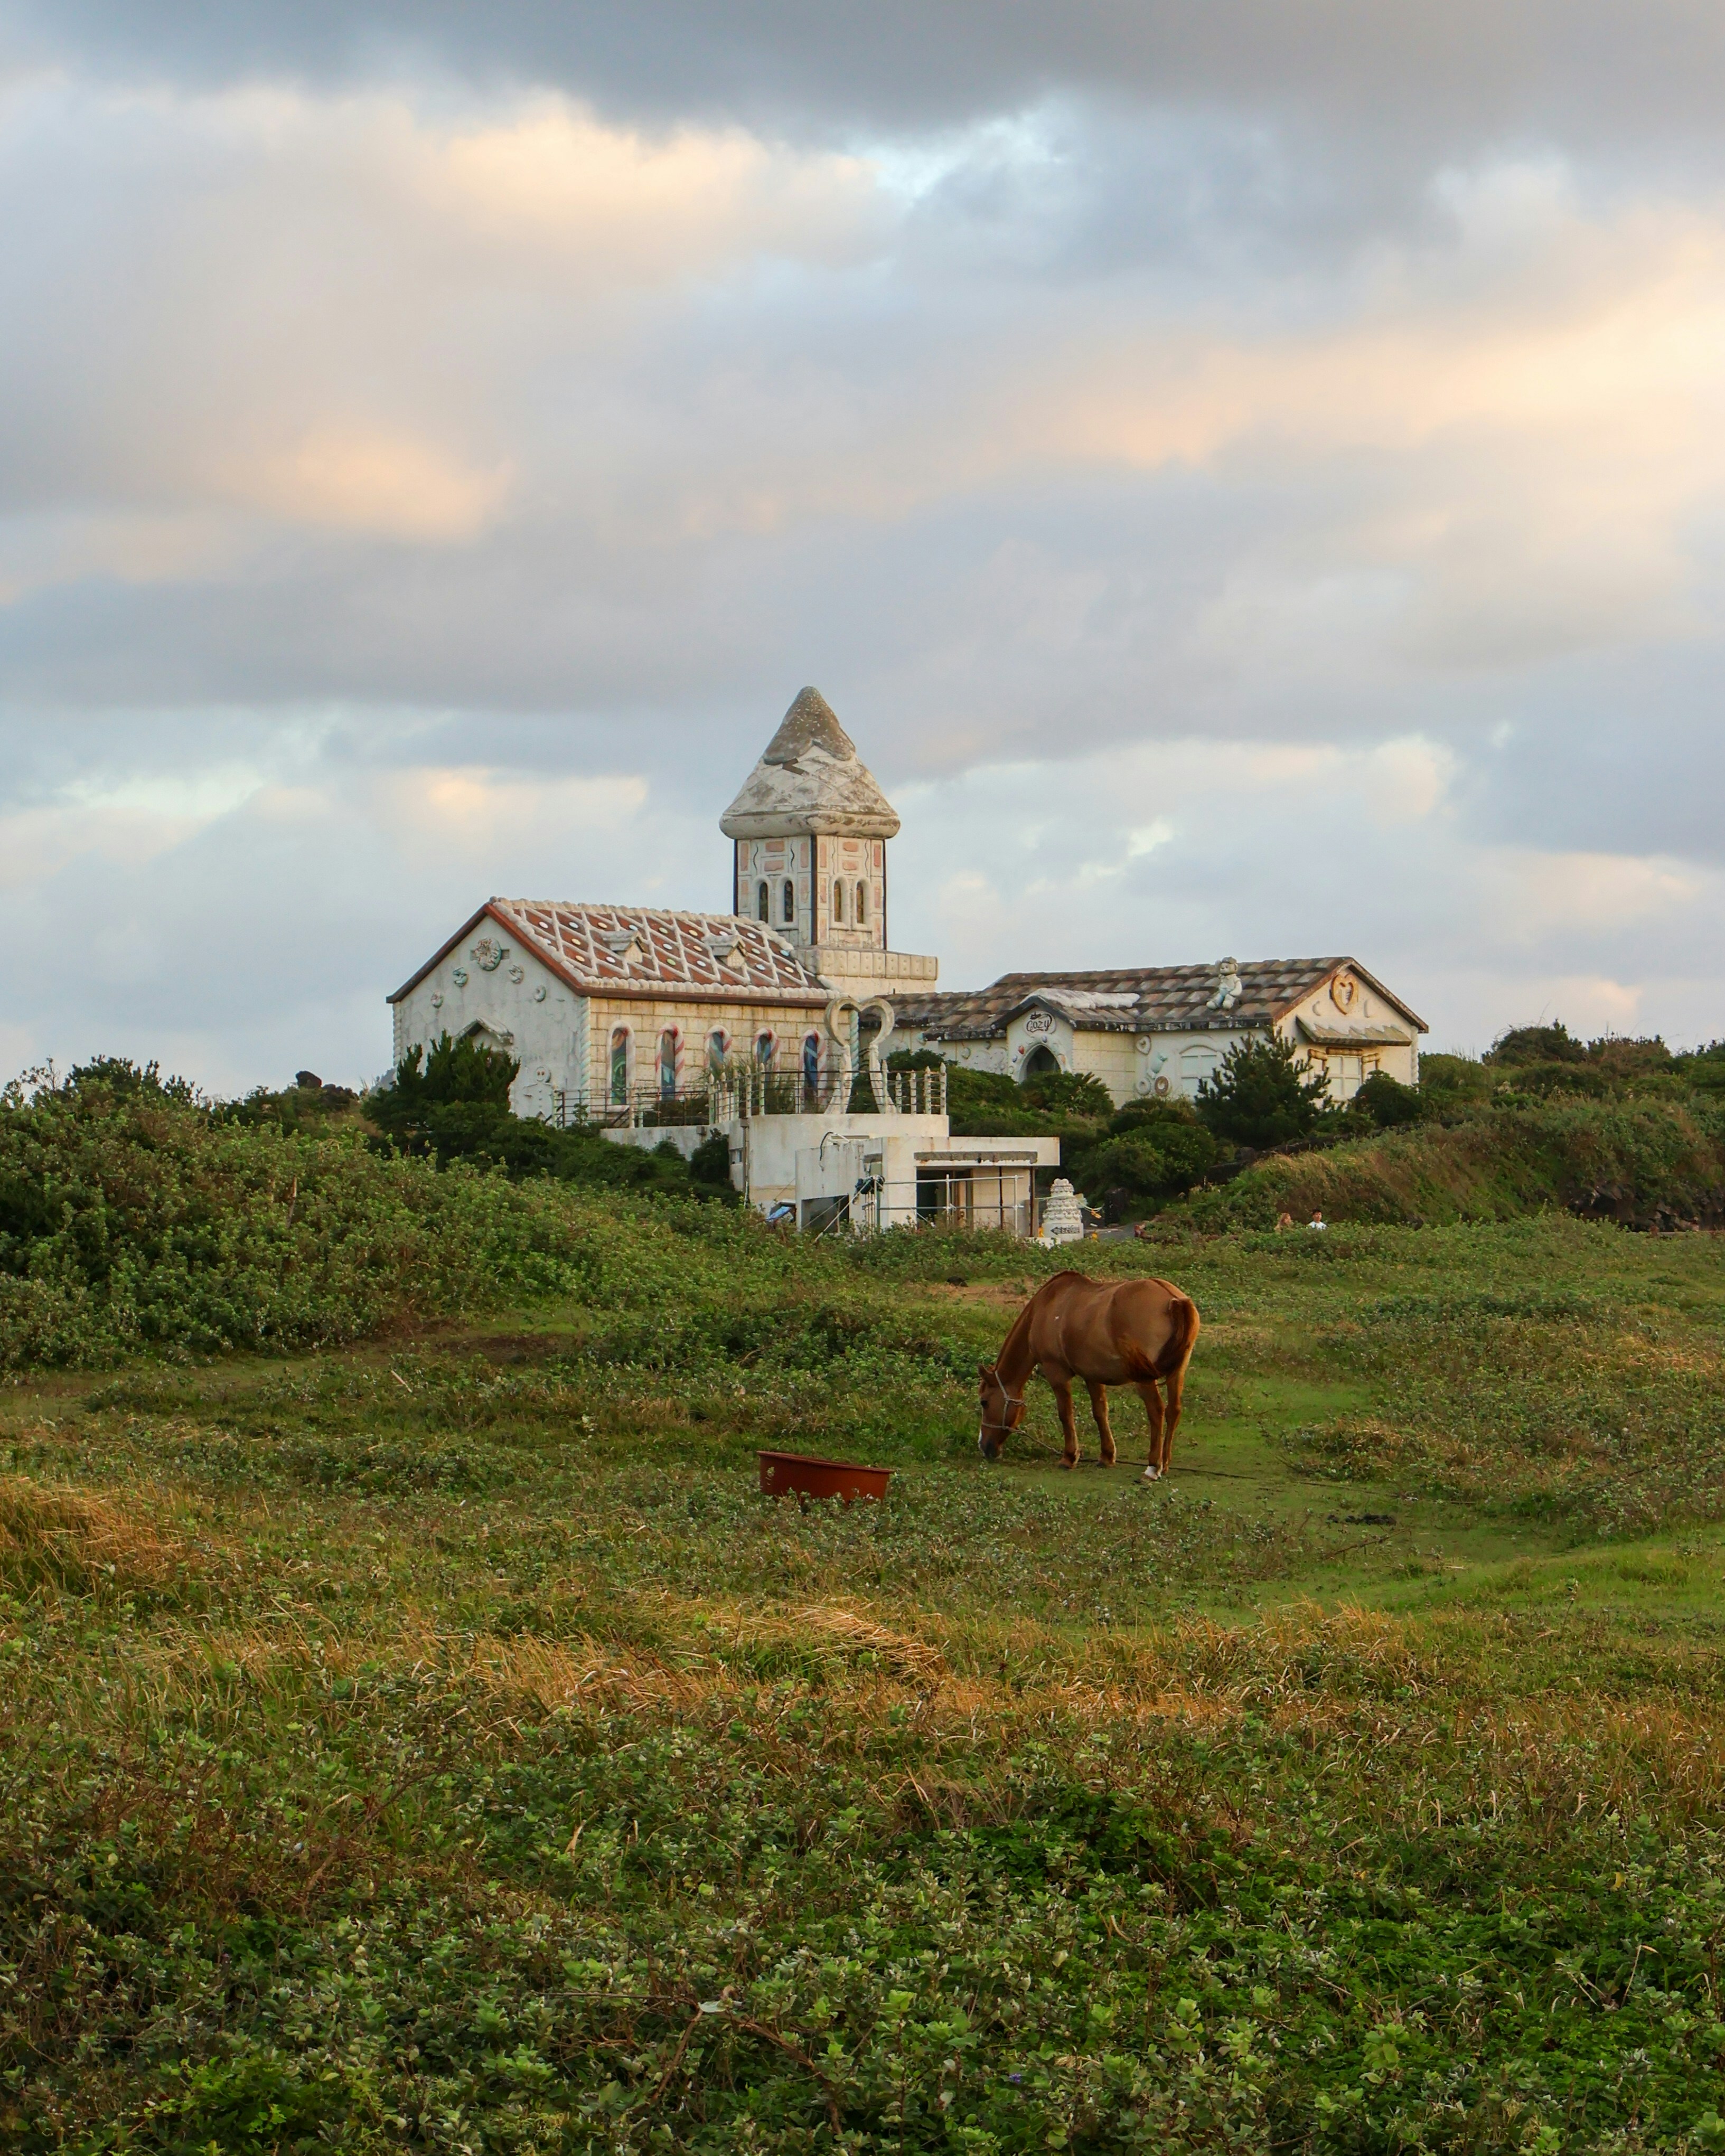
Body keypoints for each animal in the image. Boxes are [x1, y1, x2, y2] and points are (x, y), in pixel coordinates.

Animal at [978, 1271, 1200, 1480]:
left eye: (984, 1402)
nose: (984, 1446)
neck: (1047, 1308)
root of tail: (1174, 1300)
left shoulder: (1056, 1372)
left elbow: (1065, 1414)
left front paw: (1069, 1457)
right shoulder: (1093, 1375)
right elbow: (1100, 1412)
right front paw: (1107, 1456)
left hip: (1144, 1378)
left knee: (1156, 1411)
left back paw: (1153, 1467)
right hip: (1177, 1373)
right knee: (1174, 1411)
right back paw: (1166, 1463)